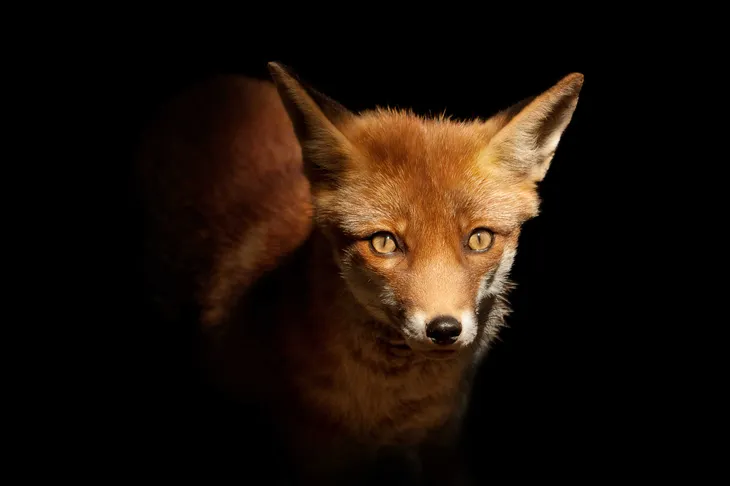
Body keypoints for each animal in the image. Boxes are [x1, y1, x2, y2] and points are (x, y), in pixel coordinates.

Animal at [136, 62, 583, 484]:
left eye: (478, 239)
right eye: (384, 243)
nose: (443, 329)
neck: (389, 415)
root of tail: (206, 88)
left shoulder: (443, 445)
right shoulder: (315, 459)